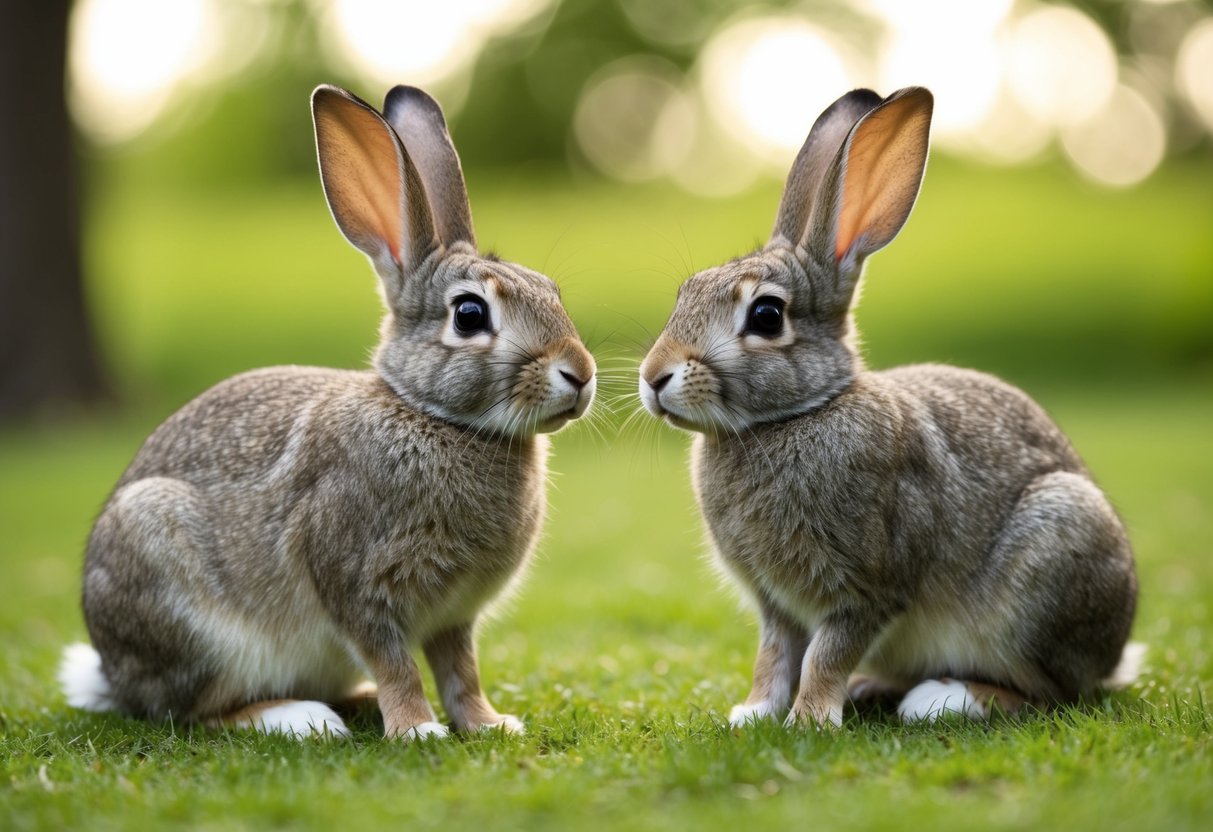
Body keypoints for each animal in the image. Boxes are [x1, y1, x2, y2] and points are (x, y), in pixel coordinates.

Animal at [58, 84, 596, 740]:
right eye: (469, 315)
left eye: (551, 291)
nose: (580, 373)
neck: (432, 415)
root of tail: (113, 676)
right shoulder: (357, 585)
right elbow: (396, 663)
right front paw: (418, 730)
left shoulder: (454, 615)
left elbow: (460, 670)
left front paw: (490, 724)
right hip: (182, 596)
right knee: (197, 712)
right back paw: (300, 718)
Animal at [638, 86, 1140, 728]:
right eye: (685, 294)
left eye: (767, 316)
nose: (654, 377)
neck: (796, 415)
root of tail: (1113, 654)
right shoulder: (776, 604)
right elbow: (774, 656)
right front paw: (754, 713)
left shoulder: (867, 587)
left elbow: (826, 654)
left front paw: (810, 719)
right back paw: (874, 688)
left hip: (1048, 564)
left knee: (1049, 693)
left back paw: (941, 699)